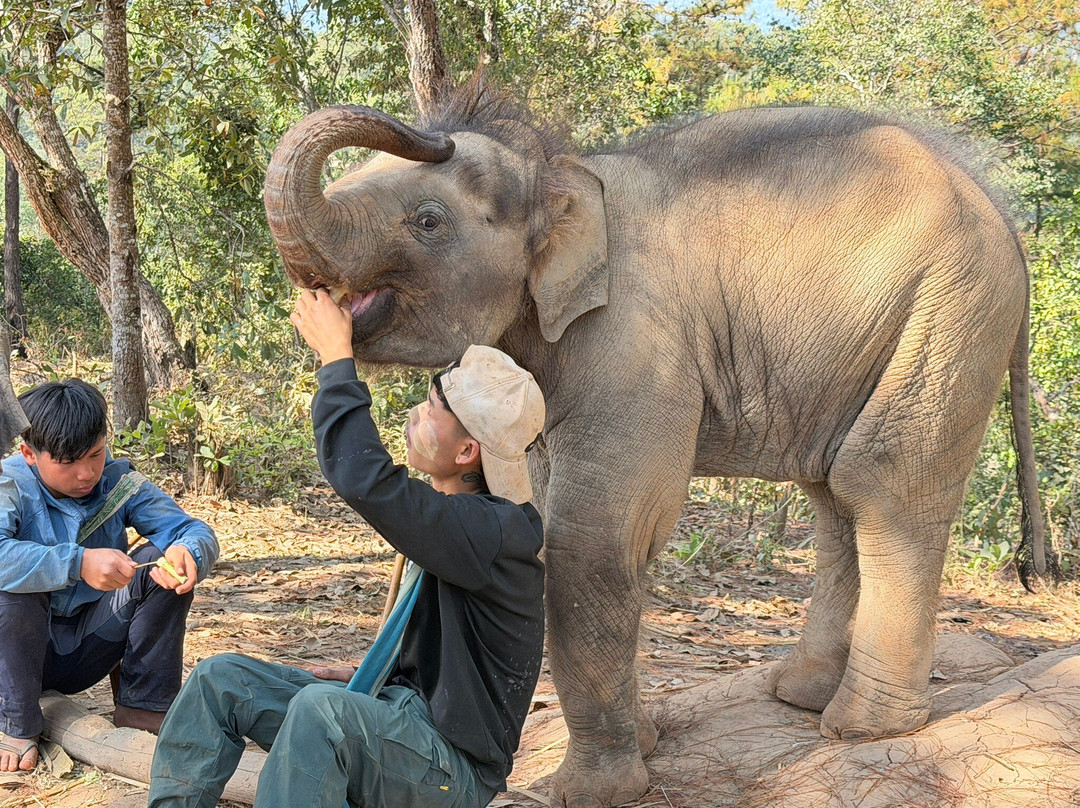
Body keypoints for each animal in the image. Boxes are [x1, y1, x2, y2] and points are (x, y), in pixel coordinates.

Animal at [263, 77, 1050, 808]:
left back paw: (862, 728)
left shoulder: (637, 343)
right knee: (833, 495)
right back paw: (801, 695)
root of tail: (1005, 216)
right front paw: (643, 745)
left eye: (428, 220)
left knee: (880, 479)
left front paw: (590, 792)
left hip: (951, 313)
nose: (432, 126)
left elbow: (595, 533)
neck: (559, 176)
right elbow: (551, 515)